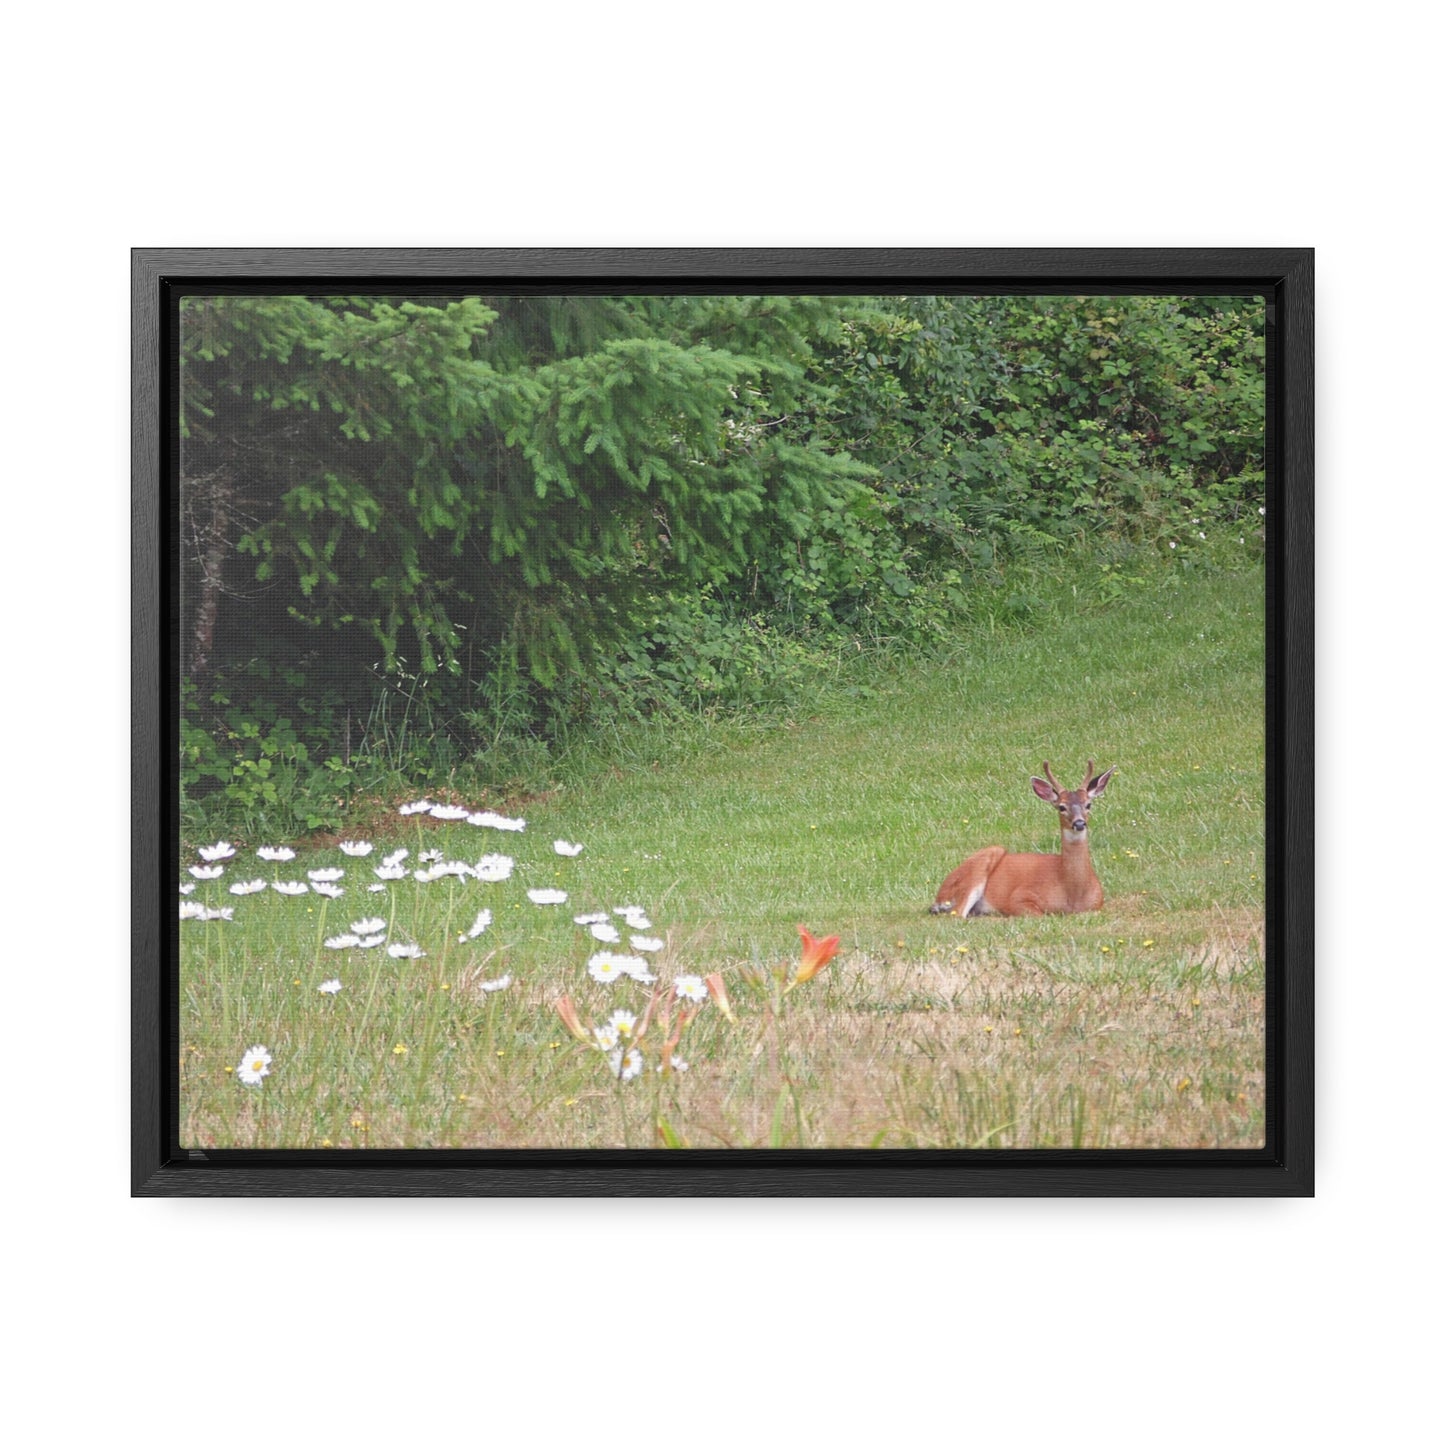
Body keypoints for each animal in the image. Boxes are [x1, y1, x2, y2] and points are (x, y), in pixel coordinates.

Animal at [924, 762, 1115, 919]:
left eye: (1088, 804)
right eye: (1061, 807)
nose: (1079, 823)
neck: (1073, 894)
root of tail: (940, 894)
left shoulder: (1098, 904)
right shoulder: (1018, 897)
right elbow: (1040, 914)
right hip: (985, 859)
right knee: (958, 913)